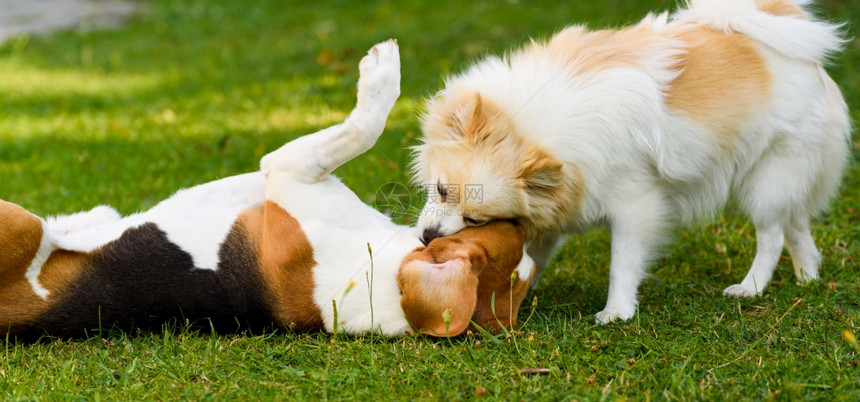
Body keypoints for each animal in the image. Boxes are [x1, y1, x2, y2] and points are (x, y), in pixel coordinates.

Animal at [0, 41, 536, 340]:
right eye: (512, 234)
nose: (525, 220)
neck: (379, 280)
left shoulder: (289, 169)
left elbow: (364, 125)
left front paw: (381, 73)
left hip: (19, 222)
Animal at [414, 0, 848, 322]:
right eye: (441, 190)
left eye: (475, 220)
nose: (429, 238)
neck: (534, 128)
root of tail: (806, 58)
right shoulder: (558, 202)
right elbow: (535, 251)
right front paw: (518, 283)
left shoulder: (635, 204)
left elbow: (622, 263)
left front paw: (617, 312)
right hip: (788, 179)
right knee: (797, 226)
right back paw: (808, 278)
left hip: (768, 181)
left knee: (772, 235)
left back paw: (751, 287)